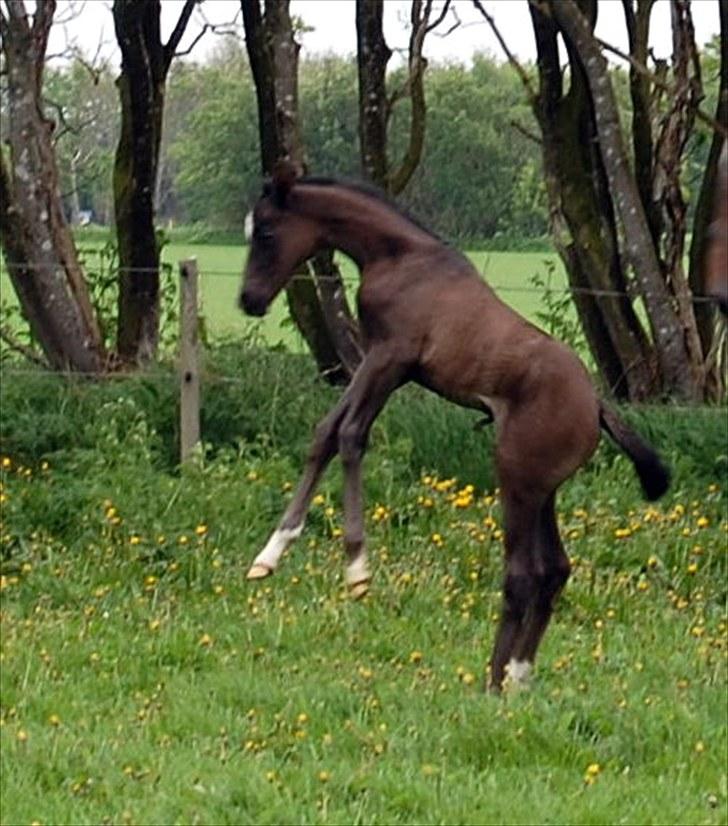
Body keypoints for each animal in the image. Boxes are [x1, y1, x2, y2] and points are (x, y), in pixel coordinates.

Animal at [239, 159, 672, 688]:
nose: (249, 300)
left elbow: (351, 435)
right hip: (543, 488)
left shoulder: (391, 357)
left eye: (266, 232)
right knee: (555, 569)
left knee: (522, 574)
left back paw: (493, 684)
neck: (400, 258)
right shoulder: (378, 358)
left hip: (516, 478)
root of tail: (597, 407)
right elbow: (325, 434)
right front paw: (270, 555)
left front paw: (357, 569)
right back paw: (519, 676)